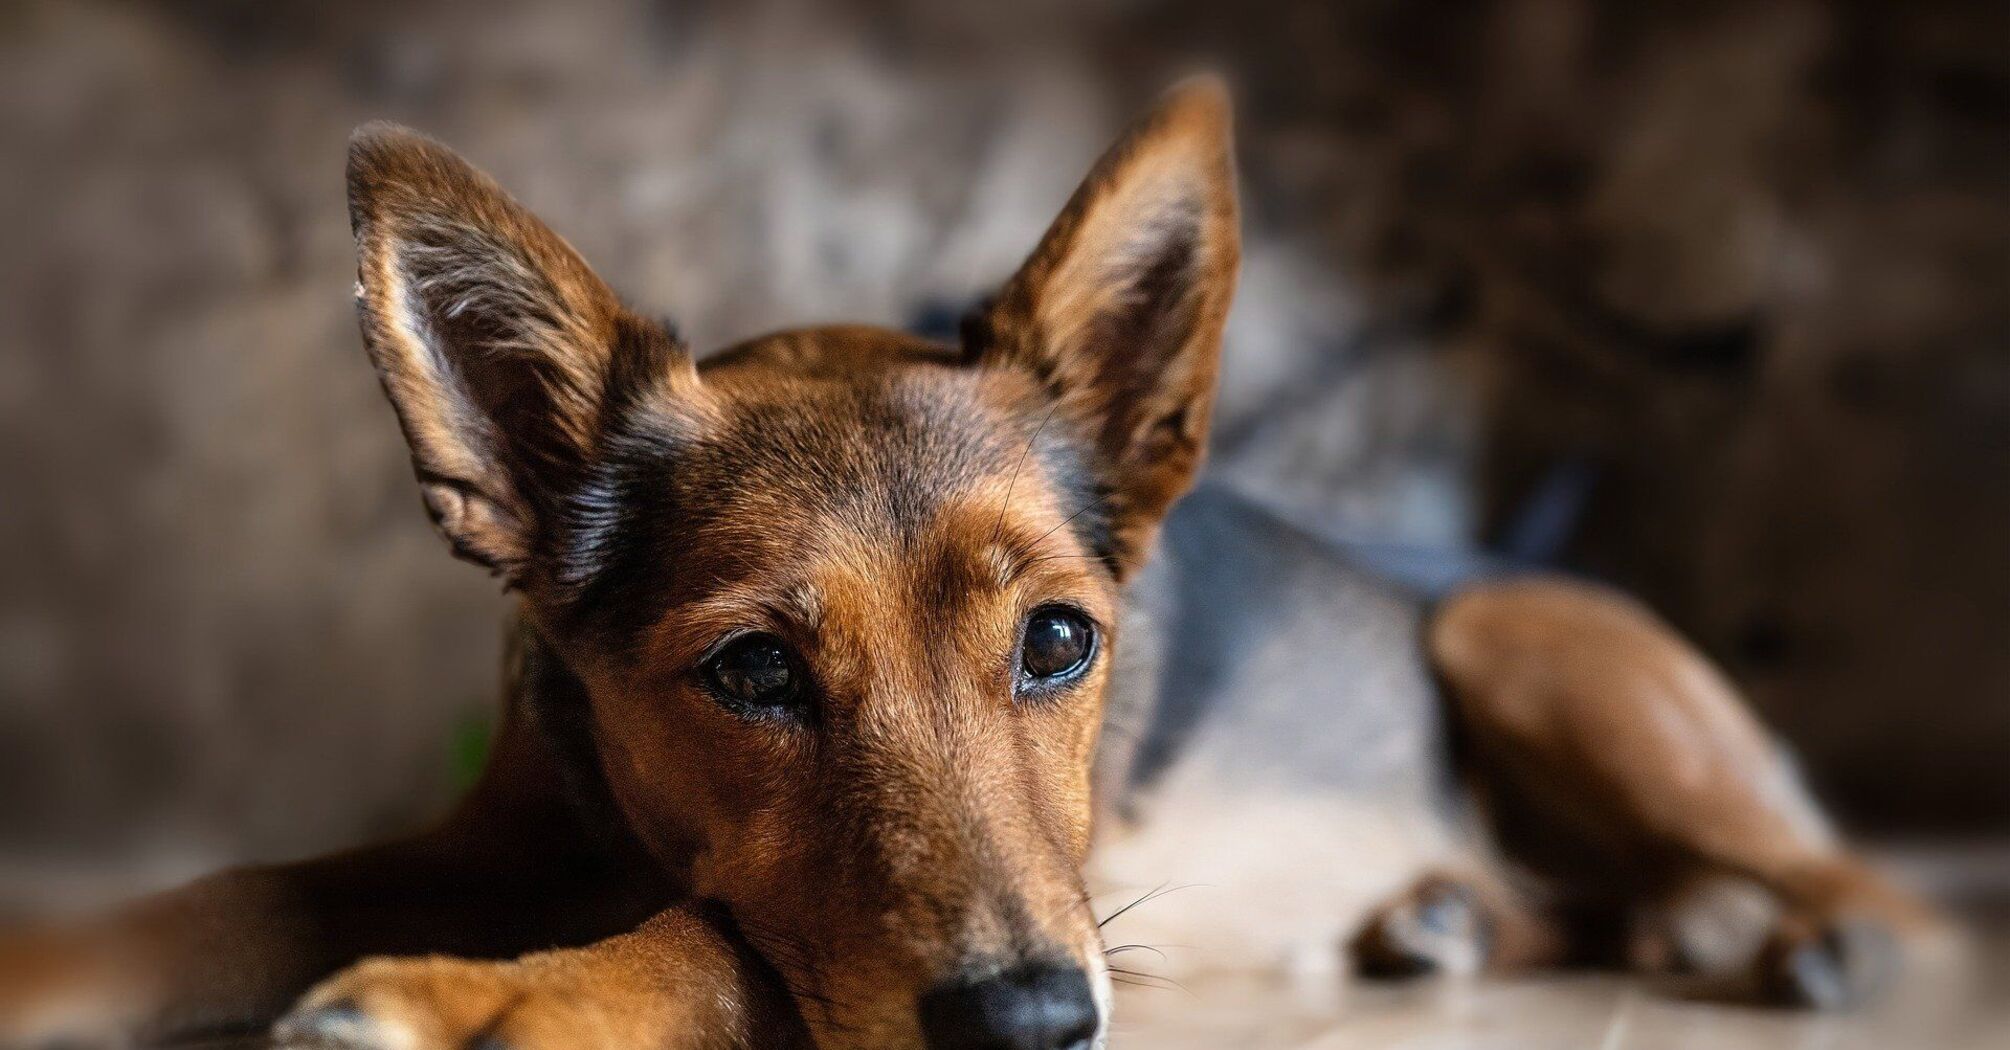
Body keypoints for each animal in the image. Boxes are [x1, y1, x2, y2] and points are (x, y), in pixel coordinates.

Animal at [7, 81, 1937, 1045]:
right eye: (754, 670)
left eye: (1063, 644)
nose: (1032, 1029)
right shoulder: (484, 837)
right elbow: (236, 893)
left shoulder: (1055, 910)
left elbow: (707, 933)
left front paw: (487, 1004)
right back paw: (1455, 921)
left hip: (1521, 640)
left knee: (1867, 888)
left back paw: (1816, 944)